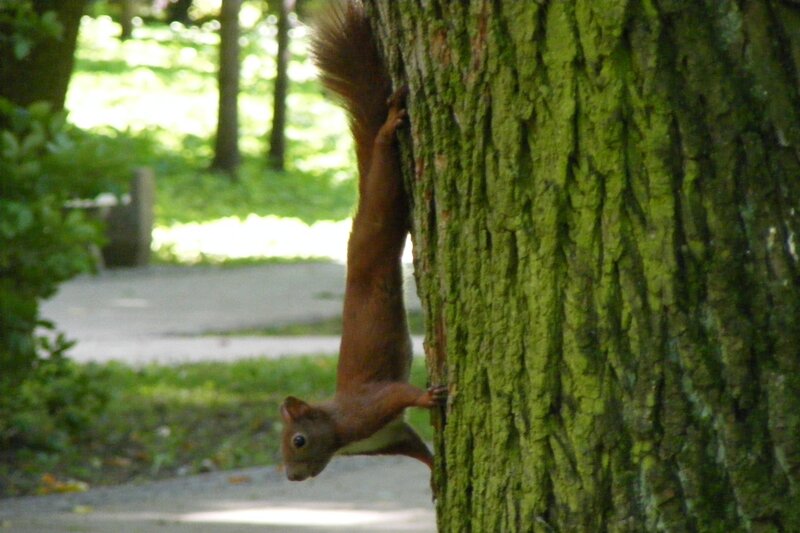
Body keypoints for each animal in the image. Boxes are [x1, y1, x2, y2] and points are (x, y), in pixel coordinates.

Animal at [279, 1, 446, 482]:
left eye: (298, 440)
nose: (292, 477)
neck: (340, 433)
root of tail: (352, 248)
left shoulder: (368, 407)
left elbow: (398, 393)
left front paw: (428, 397)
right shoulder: (390, 438)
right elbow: (416, 448)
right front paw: (435, 474)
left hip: (380, 210)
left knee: (383, 177)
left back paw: (388, 128)